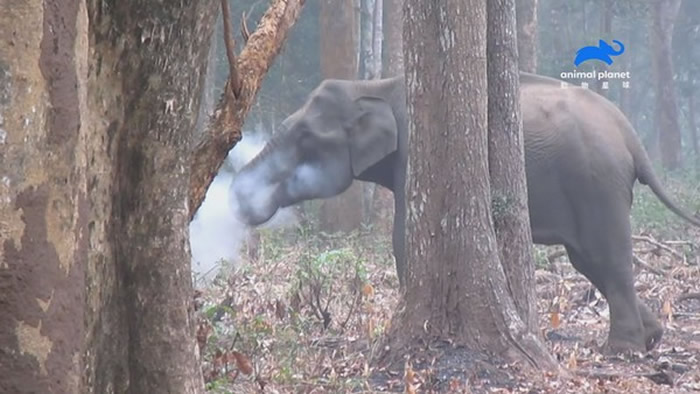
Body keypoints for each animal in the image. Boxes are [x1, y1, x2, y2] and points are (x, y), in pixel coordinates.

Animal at [232, 72, 700, 352]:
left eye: (304, 139)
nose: (235, 196)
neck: (376, 85)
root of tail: (630, 134)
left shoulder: (416, 154)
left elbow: (404, 238)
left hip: (596, 182)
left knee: (604, 256)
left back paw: (622, 350)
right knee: (588, 260)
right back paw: (651, 337)